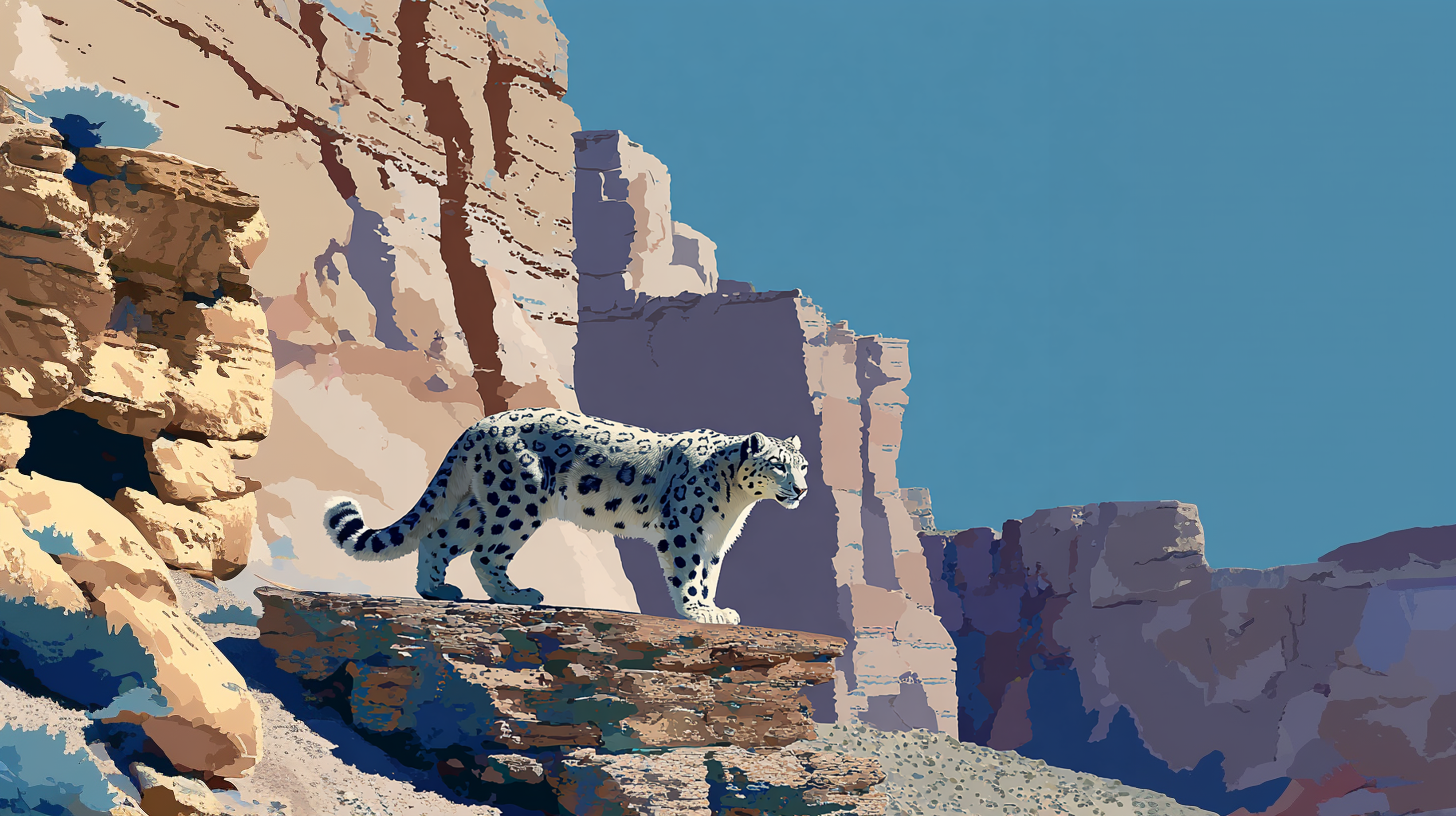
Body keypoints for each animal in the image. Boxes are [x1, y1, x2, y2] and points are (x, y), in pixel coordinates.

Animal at [322, 408, 809, 625]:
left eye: (802, 465)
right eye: (778, 465)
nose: (803, 489)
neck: (734, 504)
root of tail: (478, 424)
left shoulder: (715, 538)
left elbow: (709, 573)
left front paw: (713, 607)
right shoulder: (687, 529)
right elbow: (688, 573)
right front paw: (698, 611)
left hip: (481, 503)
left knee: (438, 536)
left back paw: (436, 589)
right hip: (518, 501)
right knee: (485, 554)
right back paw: (517, 595)